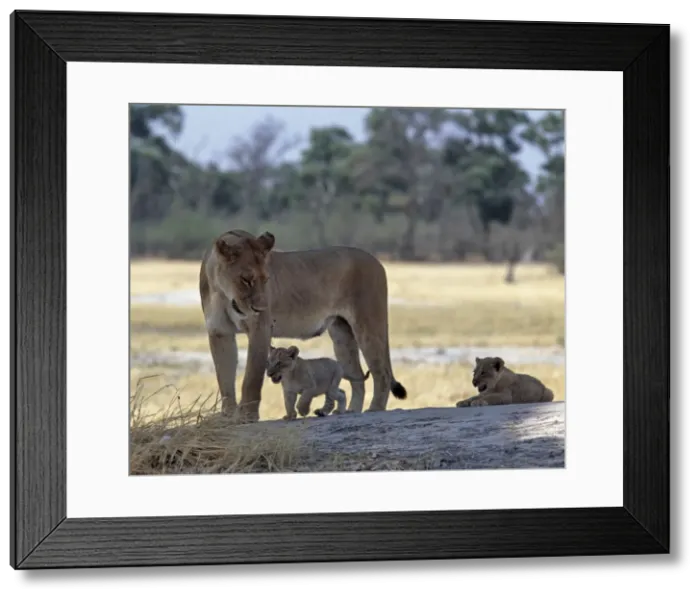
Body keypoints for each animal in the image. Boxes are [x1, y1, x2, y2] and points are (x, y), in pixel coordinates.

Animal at [199, 229, 407, 423]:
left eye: (266, 279)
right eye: (246, 279)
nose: (261, 308)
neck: (222, 293)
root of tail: (376, 260)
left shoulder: (260, 329)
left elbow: (252, 377)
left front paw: (247, 416)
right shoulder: (219, 333)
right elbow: (224, 379)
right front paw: (226, 416)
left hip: (368, 324)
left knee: (382, 372)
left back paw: (375, 408)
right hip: (342, 335)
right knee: (357, 376)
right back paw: (352, 411)